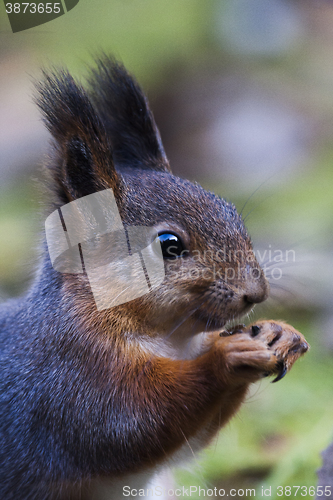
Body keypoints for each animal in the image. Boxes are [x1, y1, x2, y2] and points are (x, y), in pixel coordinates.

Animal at [0, 56, 308, 498]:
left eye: (230, 209)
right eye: (168, 244)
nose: (257, 293)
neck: (171, 340)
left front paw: (281, 333)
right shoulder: (69, 379)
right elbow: (130, 426)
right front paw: (226, 356)